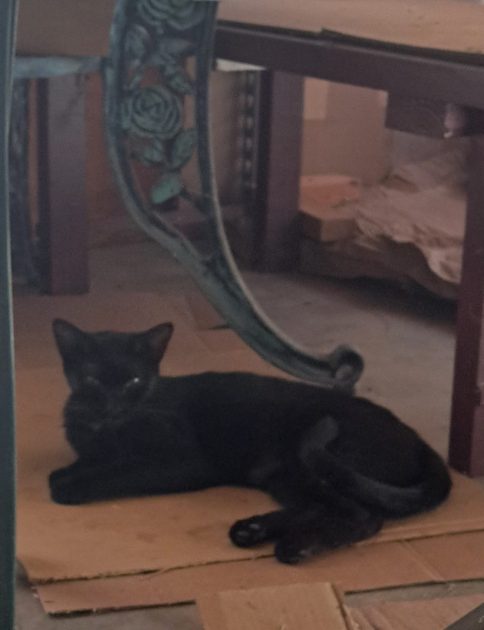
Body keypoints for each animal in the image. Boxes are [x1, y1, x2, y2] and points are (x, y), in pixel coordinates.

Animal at [49, 320, 450, 568]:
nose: (114, 406)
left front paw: (73, 486)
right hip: (283, 473)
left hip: (317, 459)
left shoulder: (181, 461)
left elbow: (120, 471)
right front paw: (68, 472)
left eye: (133, 381)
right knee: (324, 505)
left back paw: (296, 546)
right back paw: (254, 530)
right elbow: (82, 464)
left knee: (362, 515)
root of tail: (419, 440)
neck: (106, 428)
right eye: (91, 380)